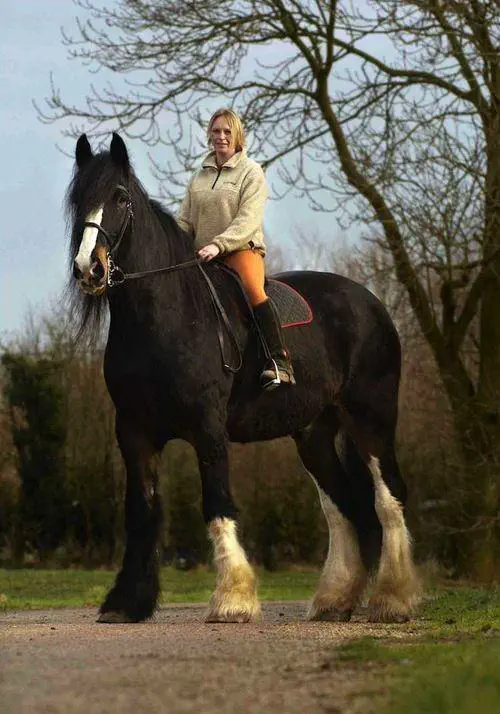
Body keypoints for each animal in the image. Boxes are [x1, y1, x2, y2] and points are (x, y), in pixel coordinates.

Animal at [66, 132, 420, 624]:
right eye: (79, 198)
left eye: (119, 197)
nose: (89, 268)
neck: (166, 318)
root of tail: (370, 303)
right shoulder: (134, 433)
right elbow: (140, 512)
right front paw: (126, 603)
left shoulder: (208, 428)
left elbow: (217, 504)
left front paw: (233, 599)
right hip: (314, 433)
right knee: (342, 508)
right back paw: (335, 600)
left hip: (372, 420)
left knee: (388, 498)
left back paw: (394, 599)